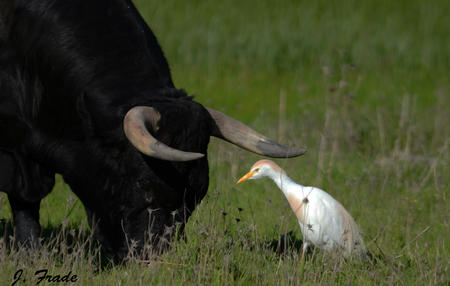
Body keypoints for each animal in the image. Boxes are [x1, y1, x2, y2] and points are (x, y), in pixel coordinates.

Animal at [0, 0, 306, 260]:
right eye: (143, 187)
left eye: (197, 195)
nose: (149, 256)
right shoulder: (17, 149)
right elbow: (26, 201)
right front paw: (28, 254)